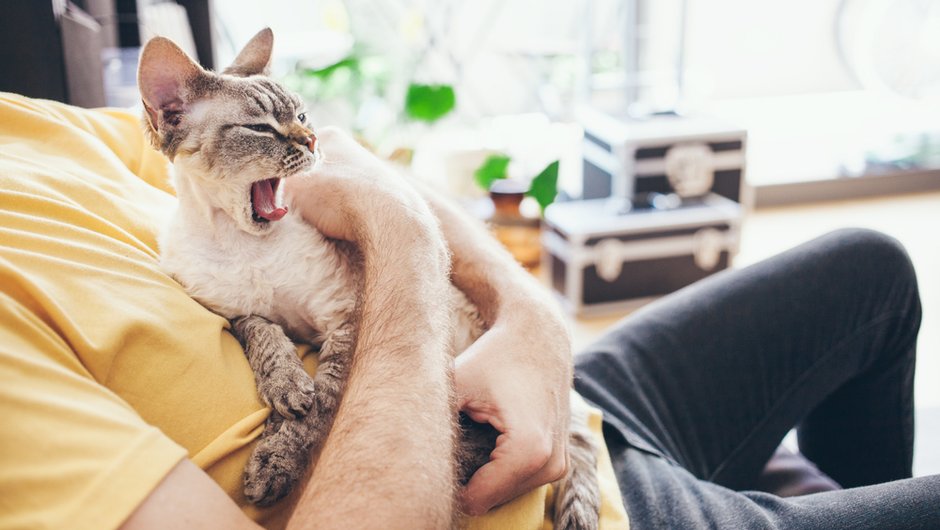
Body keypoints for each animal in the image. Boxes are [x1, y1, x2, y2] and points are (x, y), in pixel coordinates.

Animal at [137, 28, 600, 528]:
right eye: (260, 128)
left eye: (302, 115)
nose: (313, 140)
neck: (243, 244)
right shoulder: (236, 314)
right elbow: (266, 337)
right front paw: (285, 385)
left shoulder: (346, 315)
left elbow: (319, 403)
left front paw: (277, 457)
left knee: (569, 440)